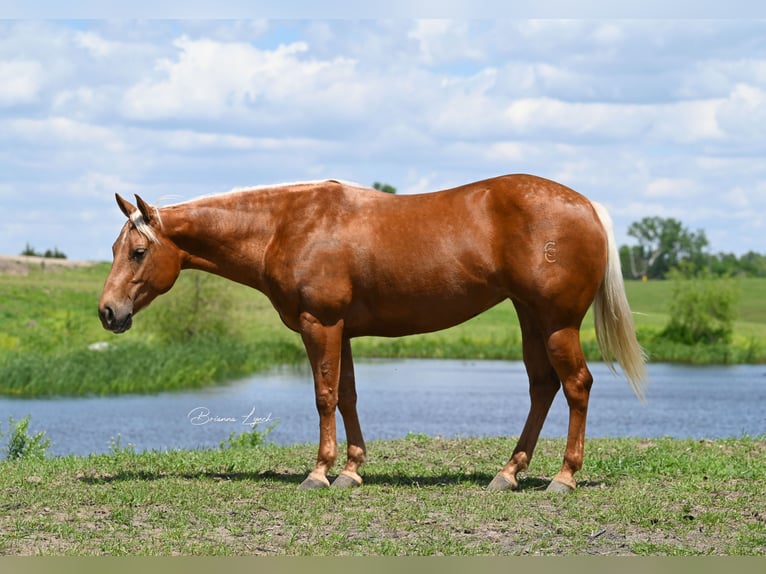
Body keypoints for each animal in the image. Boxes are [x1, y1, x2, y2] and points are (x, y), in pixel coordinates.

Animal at [97, 174, 648, 496]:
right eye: (115, 248)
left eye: (139, 252)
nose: (108, 311)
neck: (287, 225)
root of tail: (586, 205)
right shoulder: (341, 330)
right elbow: (347, 396)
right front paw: (352, 469)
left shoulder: (320, 325)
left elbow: (323, 396)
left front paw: (319, 472)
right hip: (530, 318)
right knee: (542, 387)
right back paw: (508, 473)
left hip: (557, 323)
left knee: (576, 386)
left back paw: (563, 477)